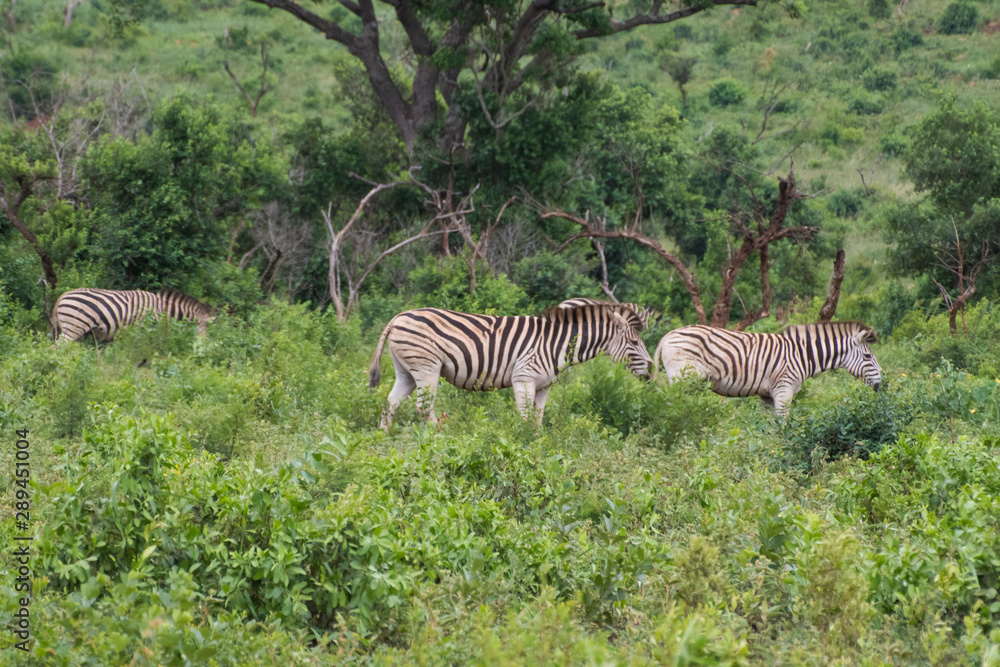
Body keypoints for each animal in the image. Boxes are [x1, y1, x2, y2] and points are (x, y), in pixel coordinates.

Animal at [53, 288, 214, 343]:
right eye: (206, 328)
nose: (207, 345)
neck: (162, 312)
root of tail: (60, 297)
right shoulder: (144, 331)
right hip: (74, 327)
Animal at [368, 303, 653, 430]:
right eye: (634, 342)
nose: (652, 372)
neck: (557, 344)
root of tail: (398, 316)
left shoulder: (543, 386)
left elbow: (537, 420)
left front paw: (538, 446)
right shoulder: (523, 378)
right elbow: (525, 418)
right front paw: (523, 447)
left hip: (407, 371)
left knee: (390, 403)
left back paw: (385, 439)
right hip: (427, 367)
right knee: (423, 408)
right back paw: (438, 439)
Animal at [652, 321, 882, 416]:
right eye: (867, 357)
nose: (883, 381)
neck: (802, 354)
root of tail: (667, 334)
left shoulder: (766, 395)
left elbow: (768, 427)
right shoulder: (784, 389)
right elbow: (783, 424)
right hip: (683, 379)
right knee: (673, 404)